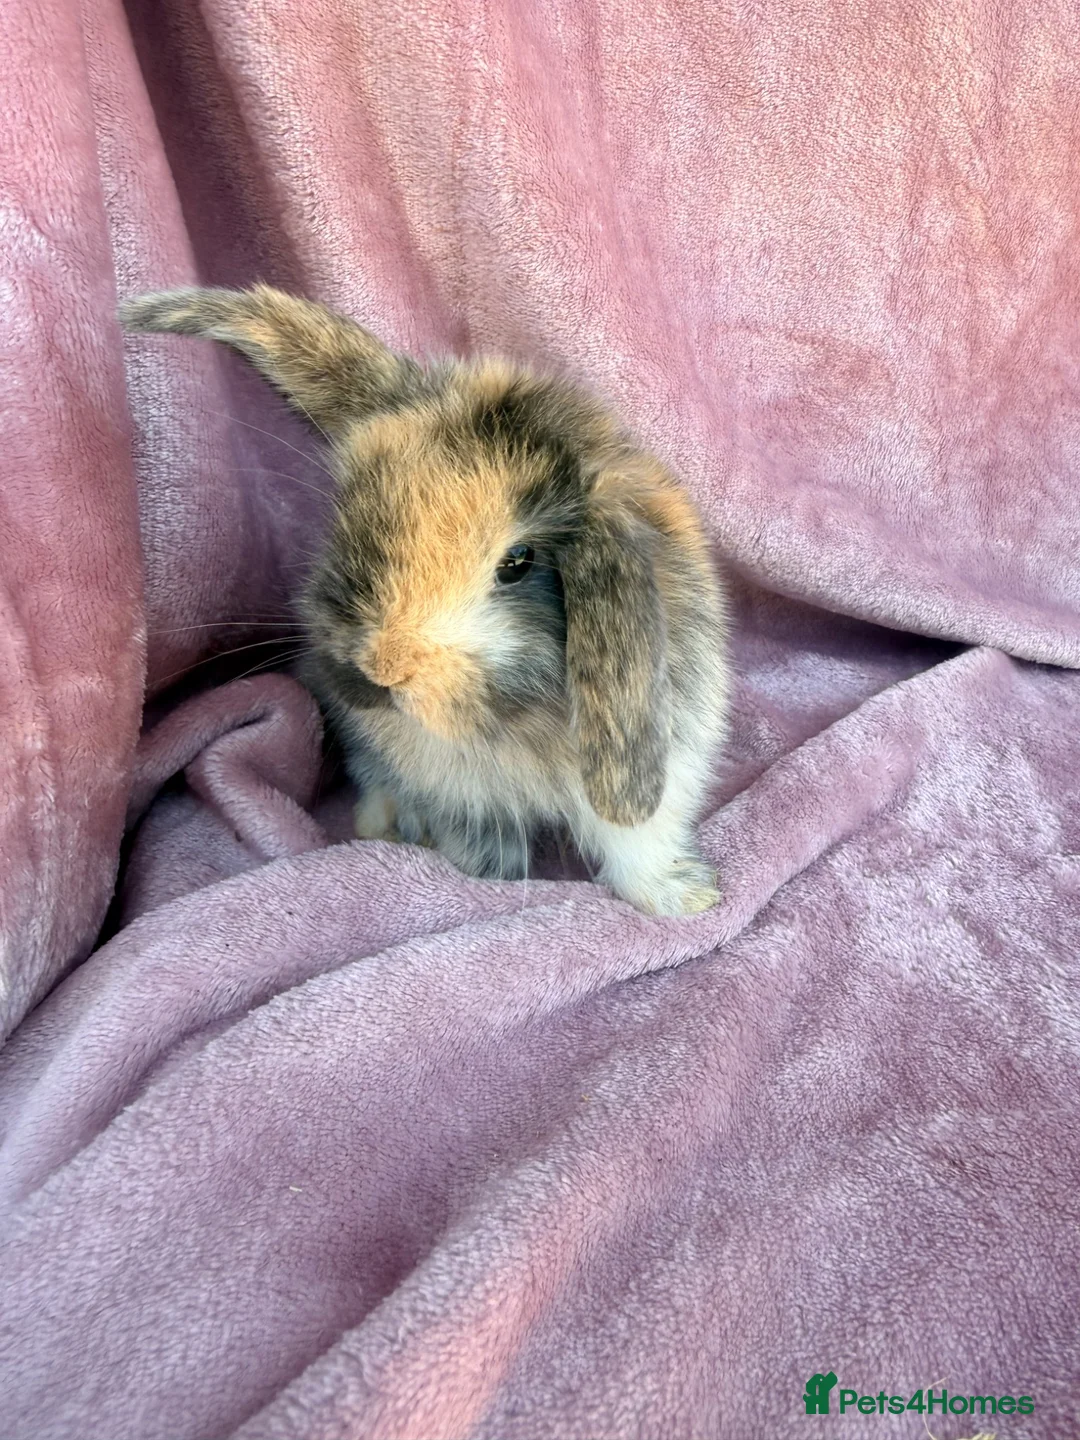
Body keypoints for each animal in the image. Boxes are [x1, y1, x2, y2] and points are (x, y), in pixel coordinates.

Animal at [121, 285, 729, 915]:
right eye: (355, 514)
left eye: (518, 562)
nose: (383, 669)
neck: (510, 725)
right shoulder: (457, 795)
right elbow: (479, 841)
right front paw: (479, 872)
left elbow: (636, 841)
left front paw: (686, 899)